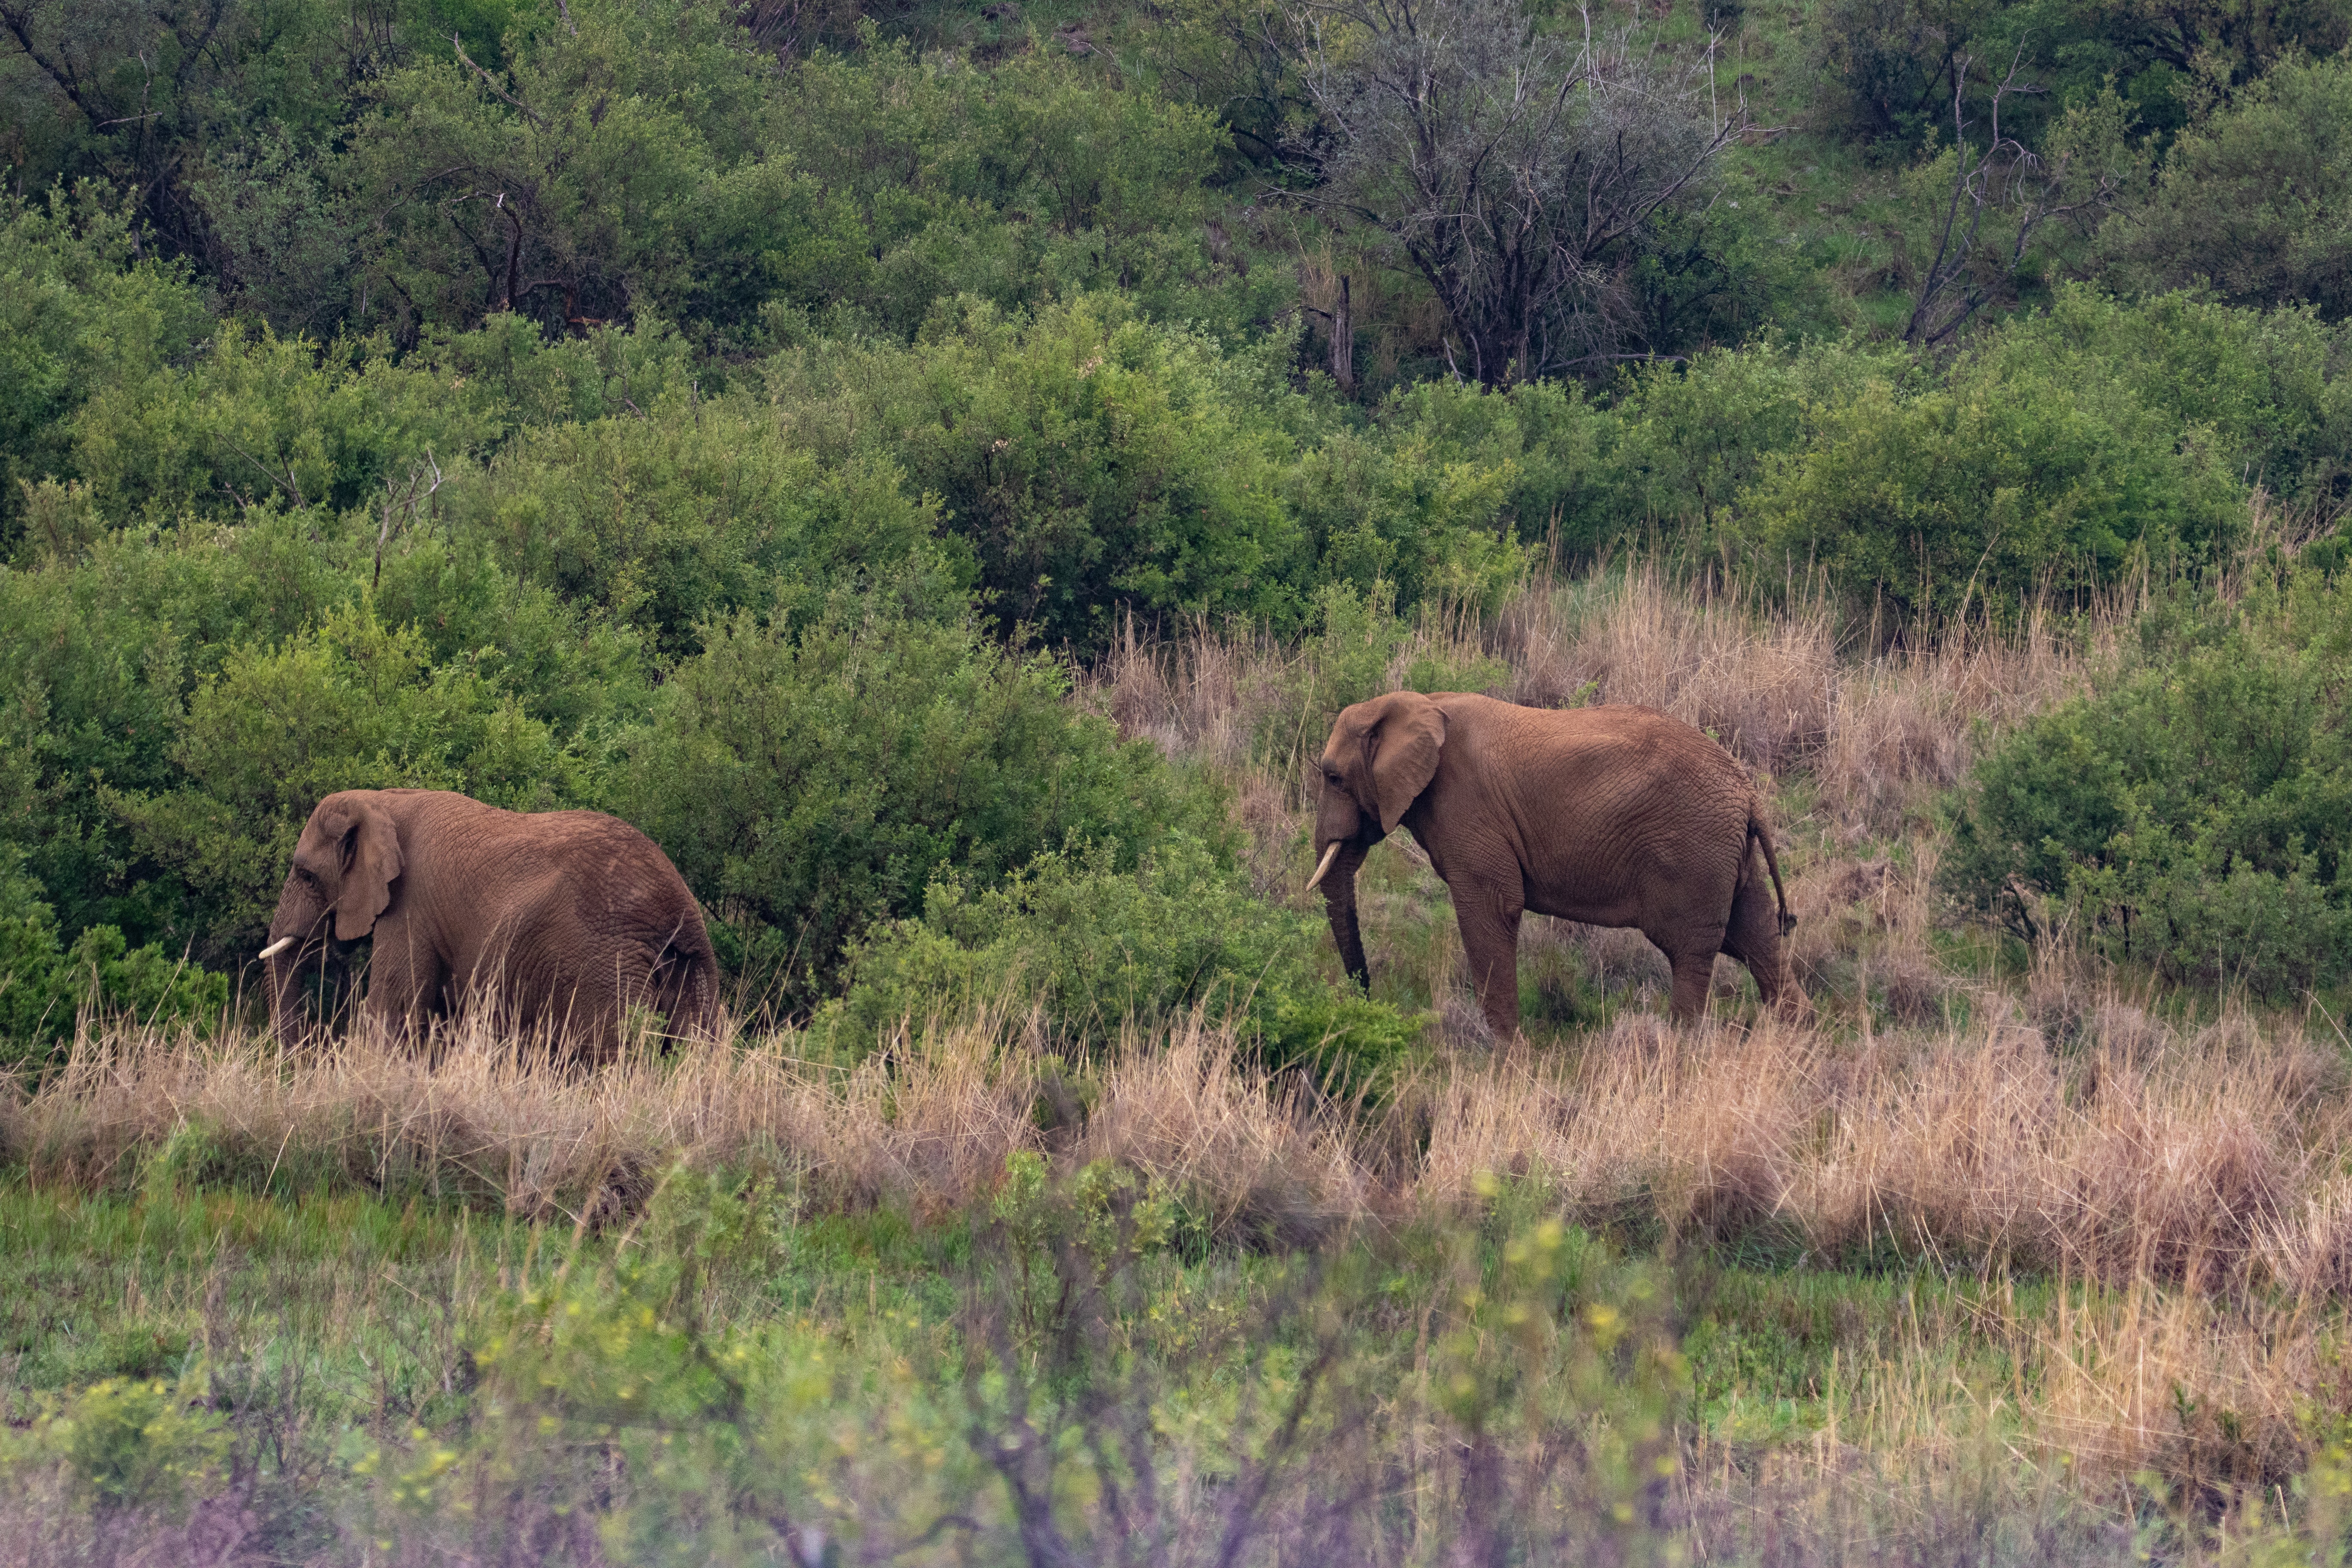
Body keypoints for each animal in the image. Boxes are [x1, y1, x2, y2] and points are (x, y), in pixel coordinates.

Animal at [257, 790, 715, 1063]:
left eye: (306, 876)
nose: (301, 1061)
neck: (381, 800)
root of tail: (678, 909)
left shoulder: (410, 907)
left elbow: (393, 1008)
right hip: (691, 966)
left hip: (606, 966)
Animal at [1308, 691, 1797, 1034]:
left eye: (1333, 777)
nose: (1367, 1002)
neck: (1413, 703)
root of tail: (1747, 791)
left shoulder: (1468, 808)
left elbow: (1491, 911)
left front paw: (1508, 1062)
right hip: (1725, 856)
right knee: (1756, 937)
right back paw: (1791, 1040)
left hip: (1694, 852)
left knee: (1692, 954)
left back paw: (1678, 1054)